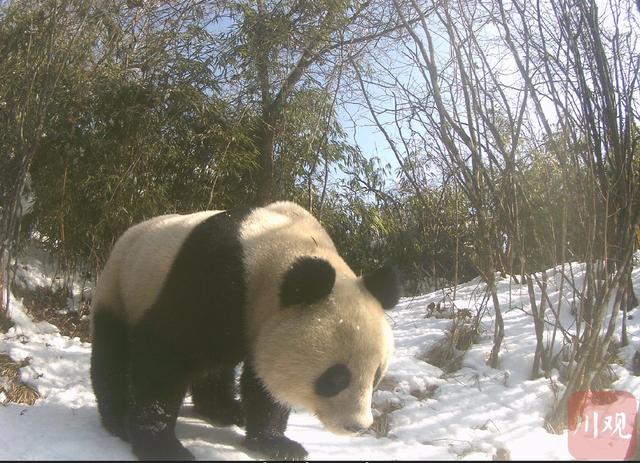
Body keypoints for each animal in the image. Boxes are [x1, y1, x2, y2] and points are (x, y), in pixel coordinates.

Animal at [90, 201, 400, 462]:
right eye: (336, 377)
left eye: (376, 377)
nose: (357, 426)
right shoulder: (210, 277)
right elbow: (163, 355)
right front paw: (162, 447)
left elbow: (265, 383)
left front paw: (277, 444)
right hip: (121, 286)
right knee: (113, 352)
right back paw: (117, 419)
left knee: (215, 366)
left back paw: (226, 409)